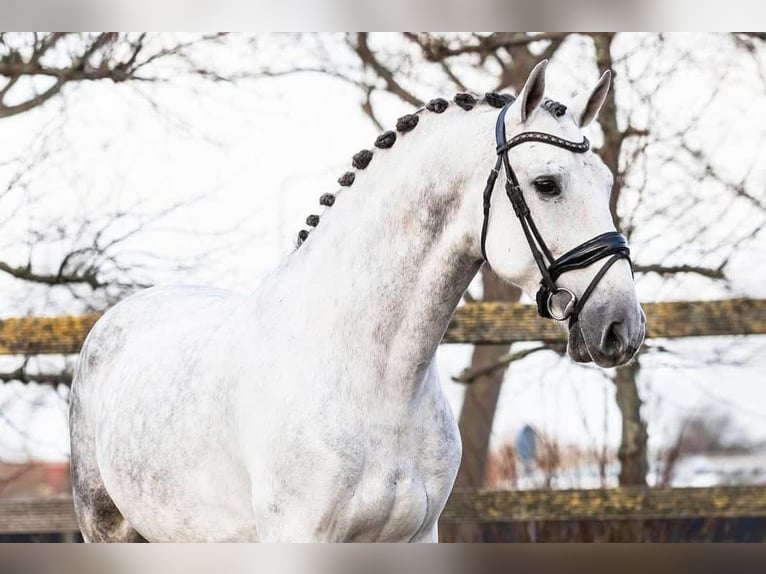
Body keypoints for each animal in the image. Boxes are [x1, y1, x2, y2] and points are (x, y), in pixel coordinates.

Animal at [69, 63, 644, 544]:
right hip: (108, 530)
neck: (376, 383)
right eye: (547, 184)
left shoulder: (417, 538)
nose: (623, 328)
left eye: (606, 183)